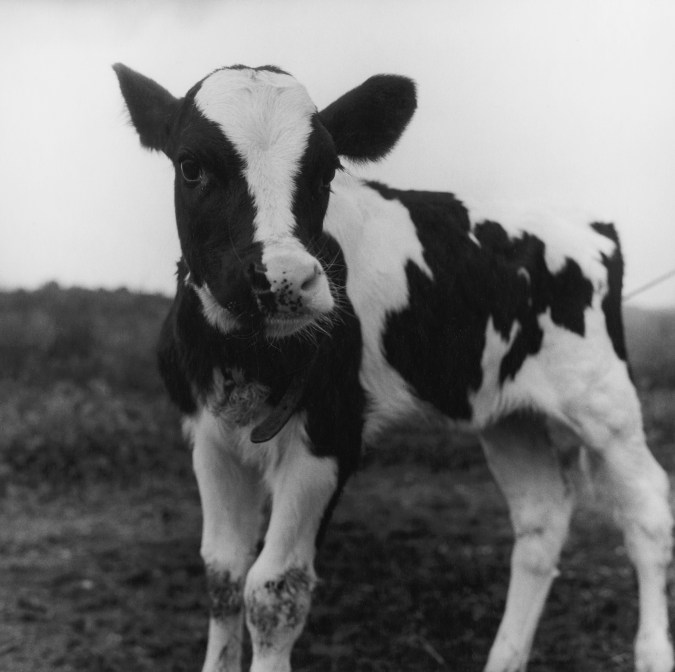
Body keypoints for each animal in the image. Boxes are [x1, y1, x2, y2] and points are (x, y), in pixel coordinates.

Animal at [113, 62, 673, 672]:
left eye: (327, 170)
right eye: (191, 166)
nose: (285, 279)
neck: (248, 358)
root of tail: (592, 226)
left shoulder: (330, 434)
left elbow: (274, 589)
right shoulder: (211, 437)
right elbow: (222, 574)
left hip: (604, 400)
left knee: (648, 511)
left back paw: (653, 651)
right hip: (507, 413)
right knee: (542, 517)